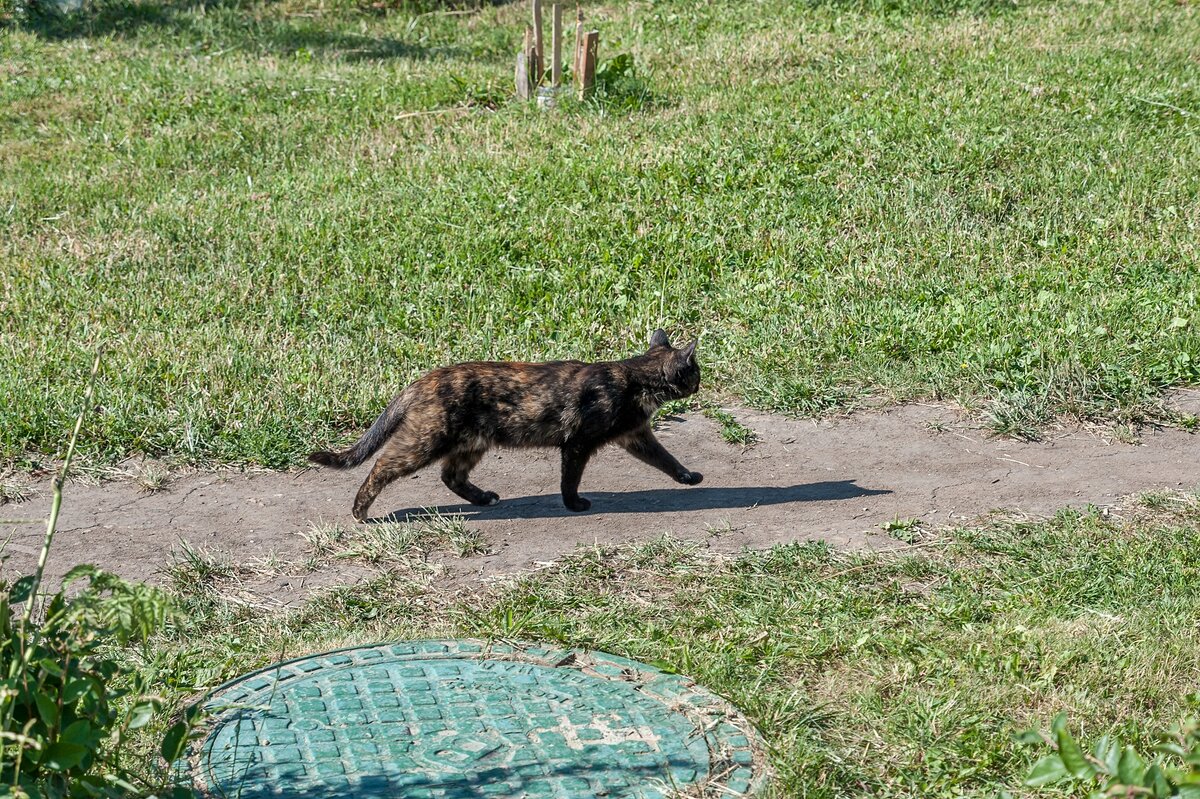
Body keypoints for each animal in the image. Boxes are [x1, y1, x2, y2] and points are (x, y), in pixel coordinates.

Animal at [309, 328, 700, 520]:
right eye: (696, 371)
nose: (701, 382)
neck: (635, 378)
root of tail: (423, 380)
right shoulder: (577, 443)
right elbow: (569, 479)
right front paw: (574, 504)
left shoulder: (636, 435)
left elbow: (665, 458)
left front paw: (688, 477)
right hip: (425, 440)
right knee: (381, 466)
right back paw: (360, 511)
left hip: (471, 443)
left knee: (451, 475)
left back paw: (483, 497)